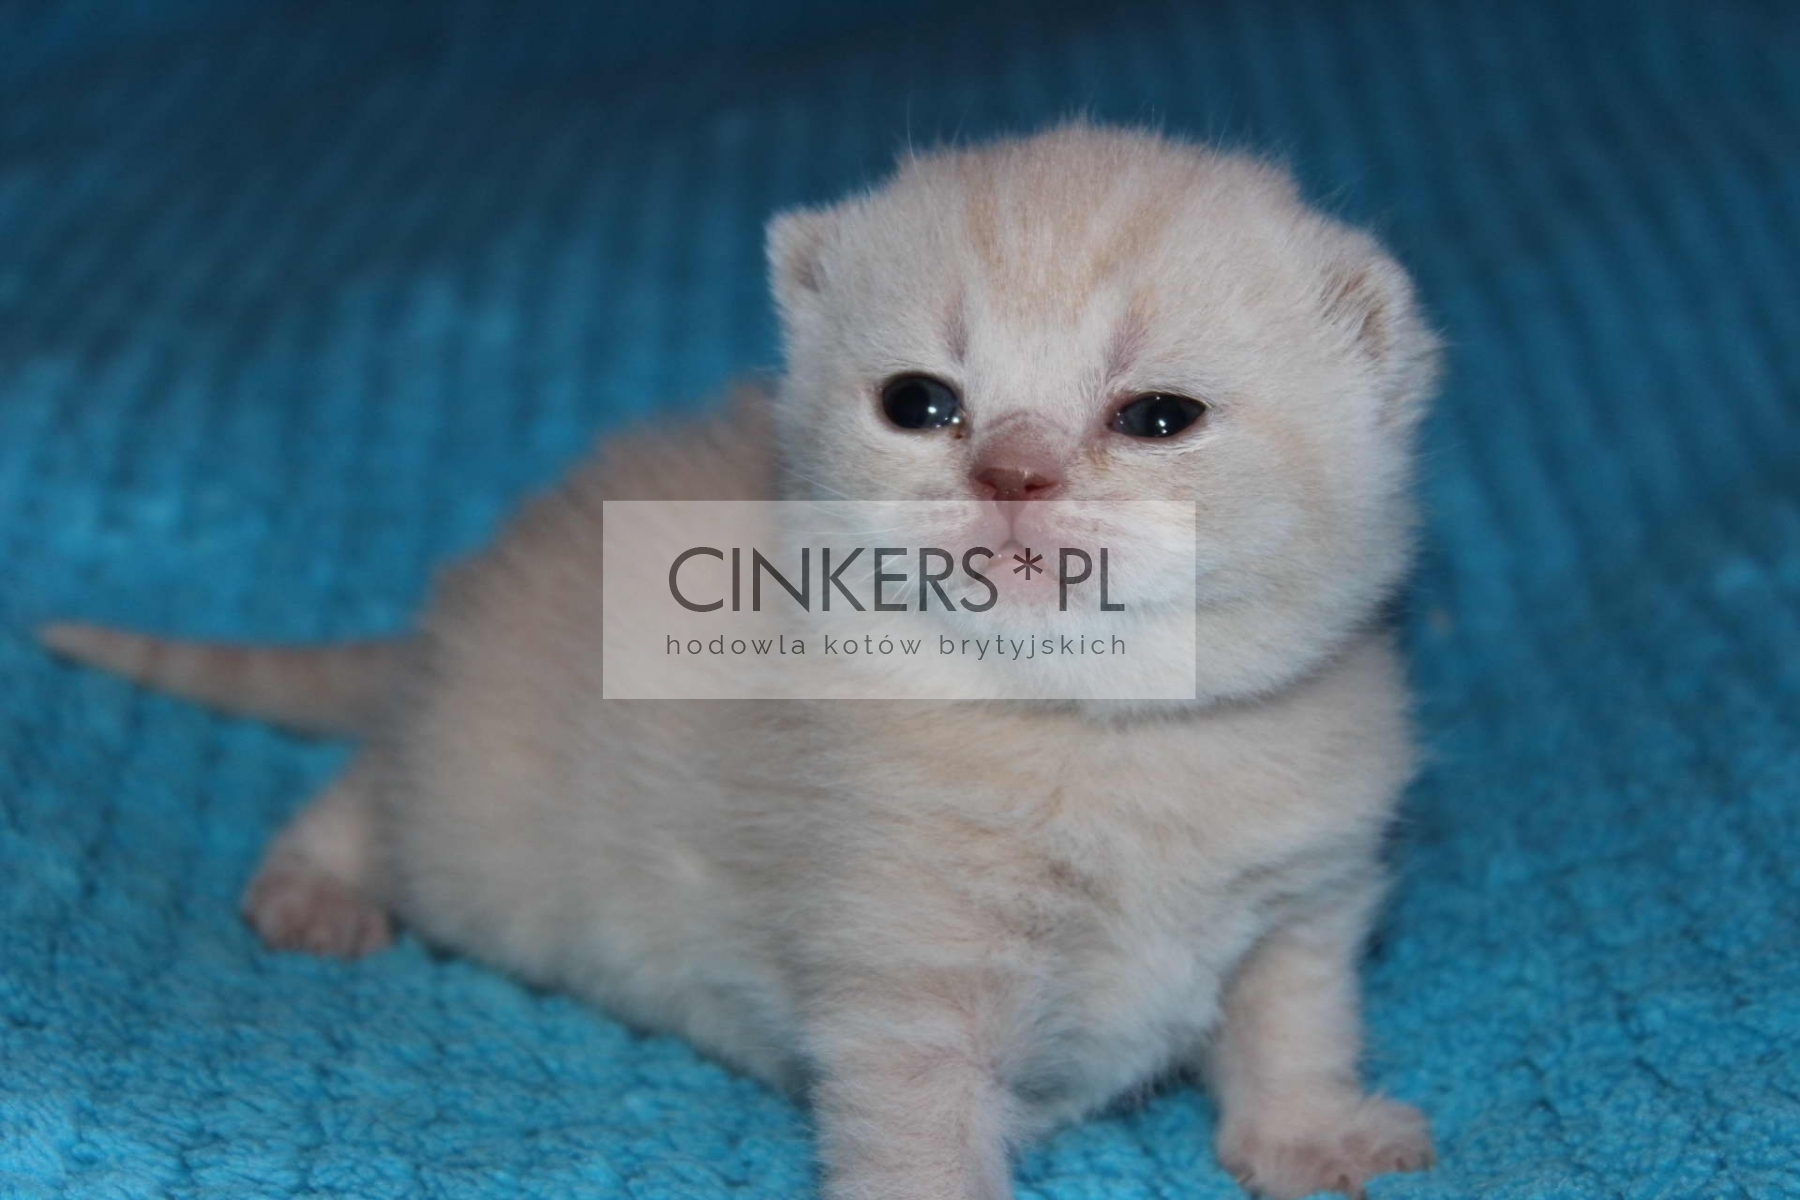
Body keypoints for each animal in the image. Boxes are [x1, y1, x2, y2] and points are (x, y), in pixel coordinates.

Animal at [43, 123, 1442, 1199]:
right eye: (921, 403)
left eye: (1158, 416)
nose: (1011, 474)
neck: (1095, 731)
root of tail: (457, 610)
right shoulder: (903, 971)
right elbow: (919, 1133)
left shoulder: (1309, 903)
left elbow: (1295, 1023)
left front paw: (1308, 1135)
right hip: (467, 815)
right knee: (370, 792)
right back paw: (312, 888)